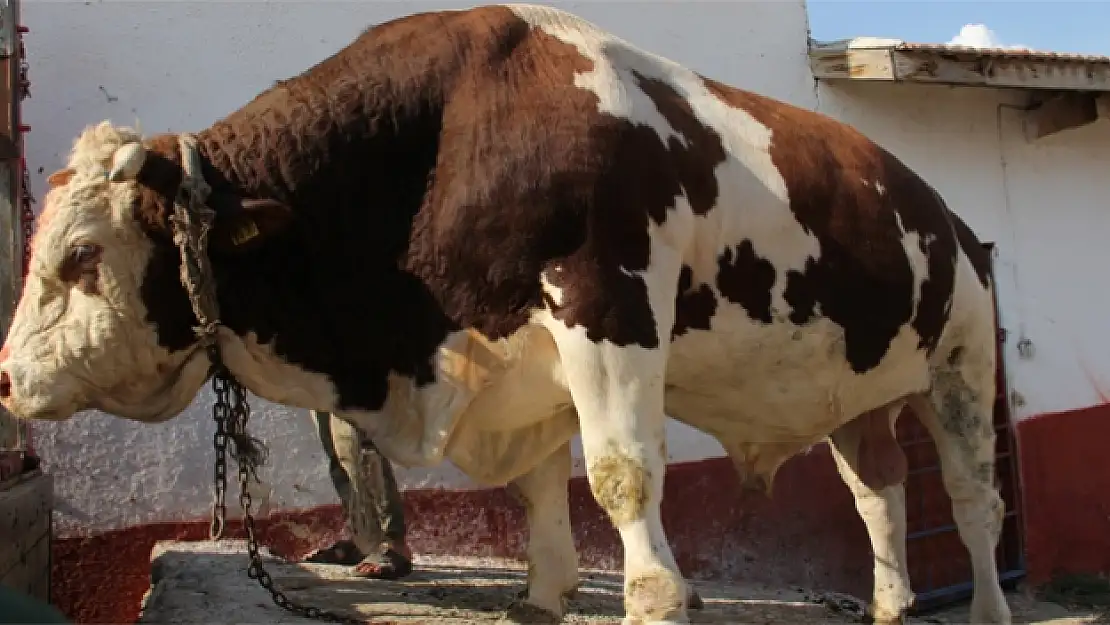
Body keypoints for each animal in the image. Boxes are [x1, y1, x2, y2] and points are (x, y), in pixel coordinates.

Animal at [0, 6, 1012, 625]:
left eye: (82, 256)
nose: (6, 377)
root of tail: (947, 211)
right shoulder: (518, 358)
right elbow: (537, 485)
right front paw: (543, 591)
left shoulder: (605, 308)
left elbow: (620, 476)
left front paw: (651, 595)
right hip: (857, 396)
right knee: (879, 493)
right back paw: (890, 603)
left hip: (961, 366)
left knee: (975, 502)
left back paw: (987, 603)